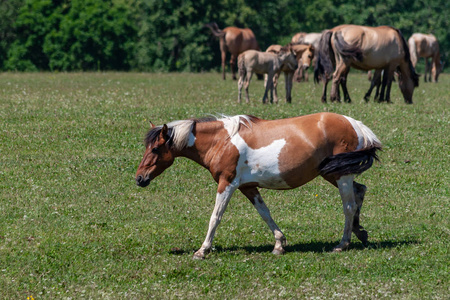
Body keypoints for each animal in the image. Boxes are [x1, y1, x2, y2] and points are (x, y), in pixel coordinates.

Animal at [135, 113, 382, 260]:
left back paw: (343, 243)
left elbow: (215, 217)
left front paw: (202, 250)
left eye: (155, 149)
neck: (222, 141)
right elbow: (265, 213)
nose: (139, 178)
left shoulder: (227, 184)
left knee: (349, 206)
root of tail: (355, 124)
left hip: (341, 175)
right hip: (333, 173)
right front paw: (279, 244)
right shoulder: (248, 187)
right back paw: (360, 232)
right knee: (360, 191)